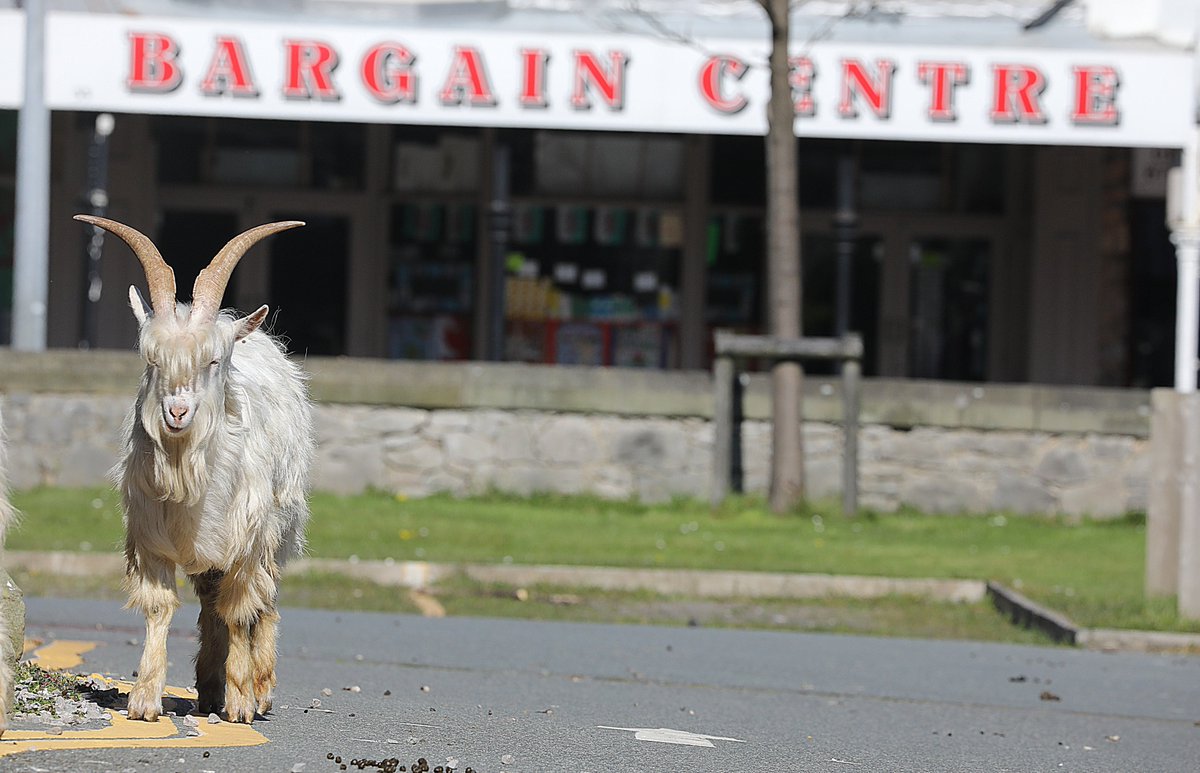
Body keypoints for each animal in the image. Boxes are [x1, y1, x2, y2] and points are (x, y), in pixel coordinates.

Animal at [74, 214, 315, 724]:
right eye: (152, 359)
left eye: (213, 360)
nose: (177, 412)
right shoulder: (150, 534)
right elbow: (162, 608)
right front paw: (144, 699)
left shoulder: (247, 534)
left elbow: (241, 609)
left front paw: (241, 703)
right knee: (210, 599)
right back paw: (207, 686)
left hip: (279, 528)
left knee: (263, 601)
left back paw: (260, 688)